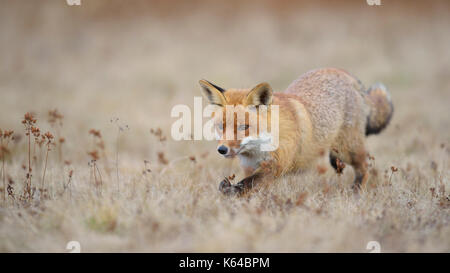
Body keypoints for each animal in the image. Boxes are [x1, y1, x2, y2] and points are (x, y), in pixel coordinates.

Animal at [200, 68, 394, 196]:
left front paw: (230, 190)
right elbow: (252, 188)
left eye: (244, 127)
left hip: (346, 150)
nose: (222, 150)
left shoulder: (277, 165)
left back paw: (356, 192)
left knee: (365, 165)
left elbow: (246, 184)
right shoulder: (250, 167)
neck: (257, 150)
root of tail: (345, 73)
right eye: (221, 127)